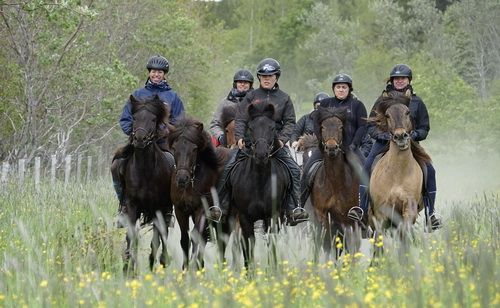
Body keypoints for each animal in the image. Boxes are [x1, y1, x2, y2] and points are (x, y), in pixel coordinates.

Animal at [168, 116, 230, 268]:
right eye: (174, 148)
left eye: (194, 149)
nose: (182, 178)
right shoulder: (180, 210)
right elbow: (185, 239)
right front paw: (186, 269)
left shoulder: (202, 210)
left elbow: (196, 237)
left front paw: (195, 267)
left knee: (222, 242)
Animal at [227, 101, 290, 270]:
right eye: (250, 127)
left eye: (272, 127)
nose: (261, 155)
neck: (260, 181)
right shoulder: (244, 217)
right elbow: (248, 245)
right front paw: (249, 273)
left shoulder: (273, 216)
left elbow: (271, 243)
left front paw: (272, 270)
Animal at [308, 107, 364, 258]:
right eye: (322, 127)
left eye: (340, 127)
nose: (331, 148)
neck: (335, 183)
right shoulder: (323, 217)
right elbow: (329, 245)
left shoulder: (349, 220)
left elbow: (351, 246)